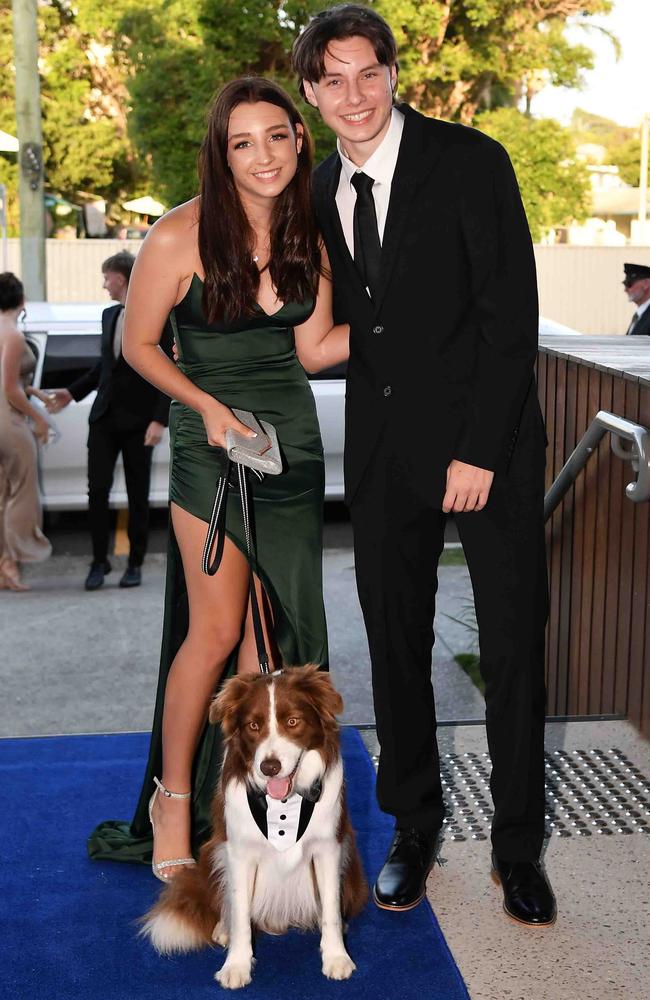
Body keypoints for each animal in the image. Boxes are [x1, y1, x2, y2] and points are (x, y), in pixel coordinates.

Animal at [140, 668, 364, 988]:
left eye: (292, 721)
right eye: (253, 726)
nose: (269, 767)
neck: (284, 803)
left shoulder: (328, 849)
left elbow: (331, 908)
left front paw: (336, 956)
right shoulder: (239, 852)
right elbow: (241, 912)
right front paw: (236, 965)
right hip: (213, 850)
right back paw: (223, 927)